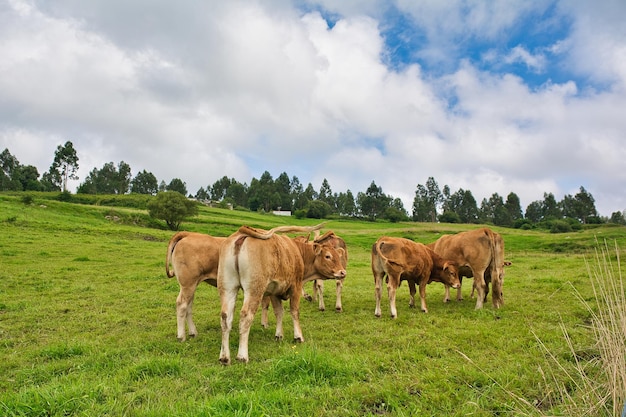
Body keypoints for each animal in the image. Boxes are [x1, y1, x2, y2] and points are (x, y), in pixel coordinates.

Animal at [217, 223, 346, 362]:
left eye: (338, 256)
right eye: (328, 256)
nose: (342, 272)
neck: (298, 252)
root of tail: (242, 234)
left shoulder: (274, 291)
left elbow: (279, 312)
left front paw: (279, 335)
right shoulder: (296, 287)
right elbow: (294, 311)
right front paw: (298, 336)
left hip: (228, 288)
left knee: (225, 317)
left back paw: (224, 357)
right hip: (254, 290)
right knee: (246, 316)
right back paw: (242, 356)